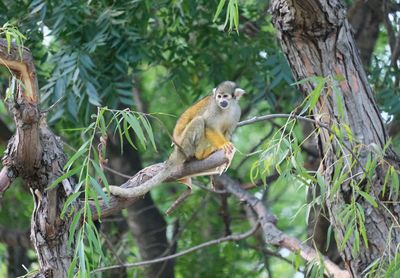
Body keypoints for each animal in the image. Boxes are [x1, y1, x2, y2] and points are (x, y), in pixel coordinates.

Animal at [108, 80, 244, 213]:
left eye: (225, 96)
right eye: (219, 96)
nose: (221, 101)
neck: (227, 108)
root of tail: (177, 149)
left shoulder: (237, 111)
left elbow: (228, 132)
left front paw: (225, 151)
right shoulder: (214, 107)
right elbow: (209, 126)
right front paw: (223, 145)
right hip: (186, 144)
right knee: (200, 120)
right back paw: (200, 154)